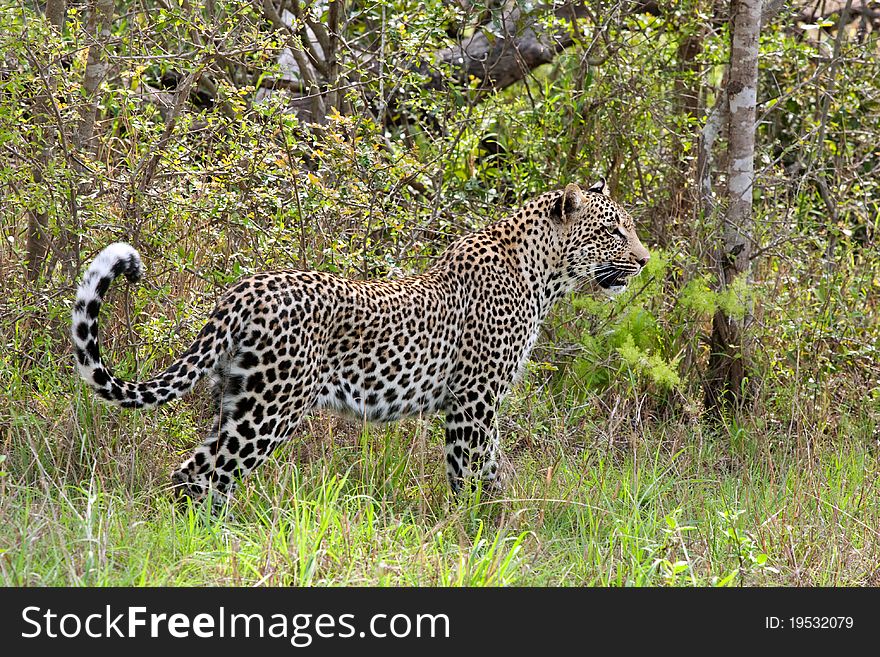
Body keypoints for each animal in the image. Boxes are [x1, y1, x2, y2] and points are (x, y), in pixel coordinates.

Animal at [72, 179, 648, 508]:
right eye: (615, 232)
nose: (645, 260)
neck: (544, 275)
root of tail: (243, 289)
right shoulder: (473, 402)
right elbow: (470, 473)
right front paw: (475, 532)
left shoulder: (480, 405)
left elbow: (494, 470)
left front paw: (503, 526)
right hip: (270, 410)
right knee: (202, 473)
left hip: (235, 400)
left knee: (202, 472)